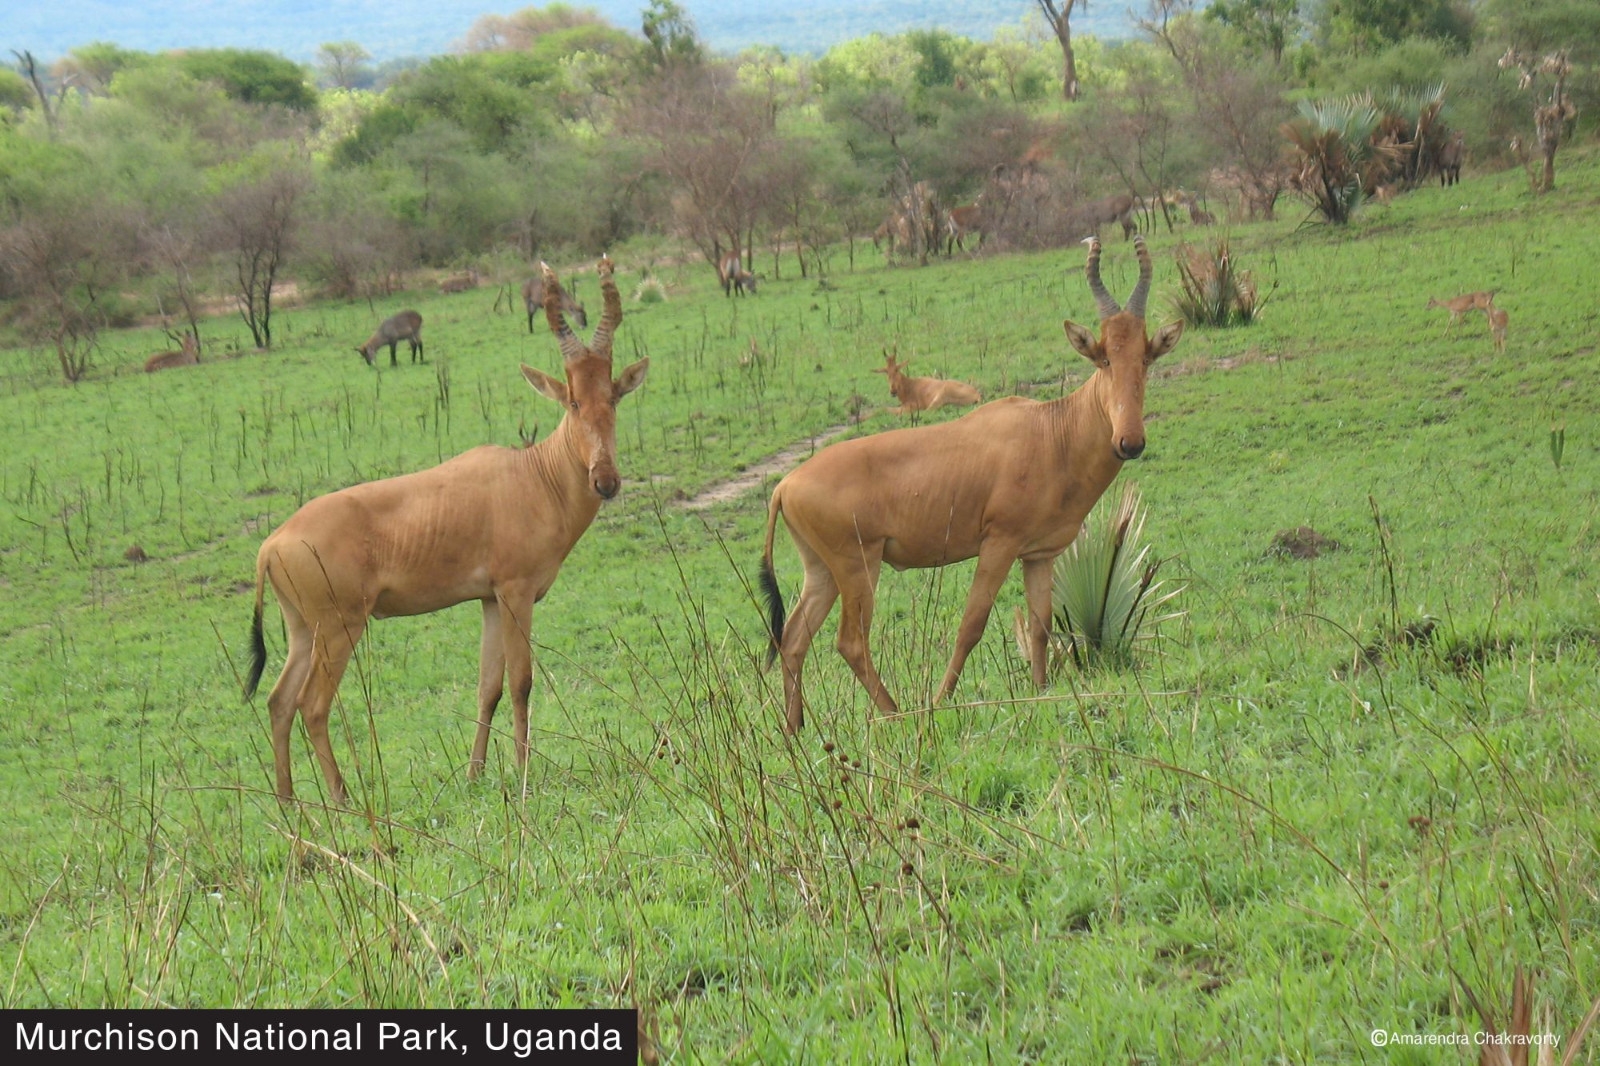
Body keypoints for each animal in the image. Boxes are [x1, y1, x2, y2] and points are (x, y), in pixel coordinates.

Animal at [247, 258, 648, 804]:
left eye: (613, 395)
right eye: (572, 401)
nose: (605, 481)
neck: (531, 475)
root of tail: (272, 544)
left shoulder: (489, 599)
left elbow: (489, 686)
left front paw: (476, 774)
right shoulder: (516, 593)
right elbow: (522, 681)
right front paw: (523, 773)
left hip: (301, 629)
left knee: (278, 701)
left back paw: (290, 804)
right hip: (339, 627)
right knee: (312, 705)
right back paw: (343, 800)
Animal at [759, 236, 1183, 733]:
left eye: (1146, 356)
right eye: (1103, 357)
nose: (1129, 442)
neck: (1050, 431)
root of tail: (784, 485)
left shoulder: (1038, 554)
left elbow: (1041, 624)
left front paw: (1040, 691)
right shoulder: (998, 543)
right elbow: (971, 624)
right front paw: (941, 700)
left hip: (821, 570)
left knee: (793, 638)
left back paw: (794, 731)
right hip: (857, 564)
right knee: (849, 641)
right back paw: (898, 714)